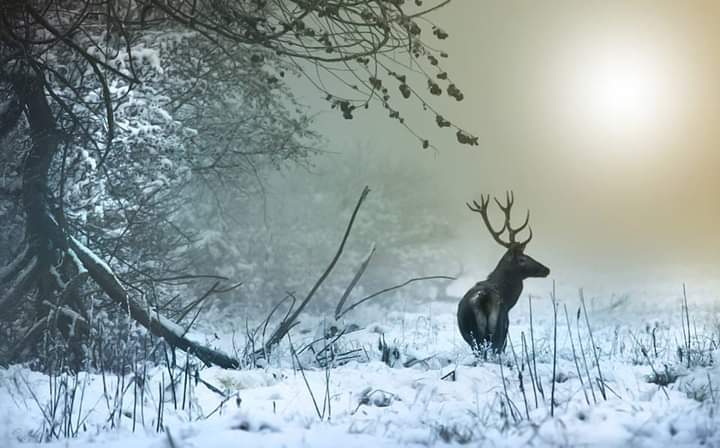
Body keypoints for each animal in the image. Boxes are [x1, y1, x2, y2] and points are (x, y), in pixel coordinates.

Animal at [458, 192, 548, 354]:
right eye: (522, 259)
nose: (546, 269)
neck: (507, 296)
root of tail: (484, 299)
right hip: (499, 330)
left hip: (475, 336)